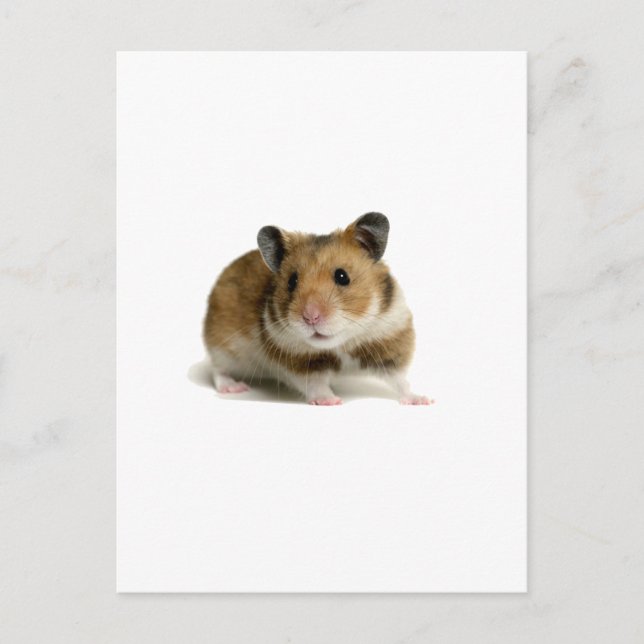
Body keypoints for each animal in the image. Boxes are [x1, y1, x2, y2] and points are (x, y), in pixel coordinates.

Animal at [203, 212, 433, 405]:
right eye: (292, 281)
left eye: (342, 276)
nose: (310, 317)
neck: (340, 344)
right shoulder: (299, 362)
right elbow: (315, 384)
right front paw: (332, 401)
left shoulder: (388, 343)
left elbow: (400, 380)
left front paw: (423, 400)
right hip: (222, 345)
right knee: (217, 370)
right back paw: (234, 387)